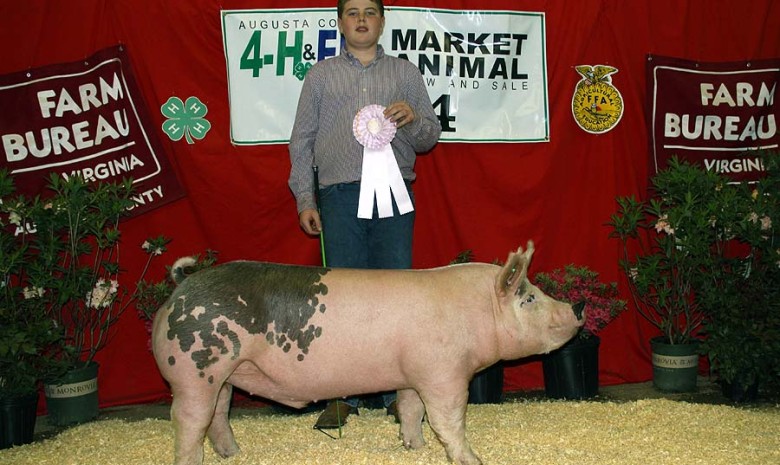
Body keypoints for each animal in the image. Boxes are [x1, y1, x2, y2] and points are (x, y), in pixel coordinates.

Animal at [151, 241, 584, 462]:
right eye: (528, 298)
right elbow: (448, 420)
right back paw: (193, 461)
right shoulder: (443, 374)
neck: (475, 311)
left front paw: (414, 447)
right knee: (188, 420)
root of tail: (181, 287)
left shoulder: (411, 374)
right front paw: (471, 460)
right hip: (194, 370)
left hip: (225, 373)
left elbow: (410, 410)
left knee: (219, 414)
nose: (577, 308)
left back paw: (233, 454)